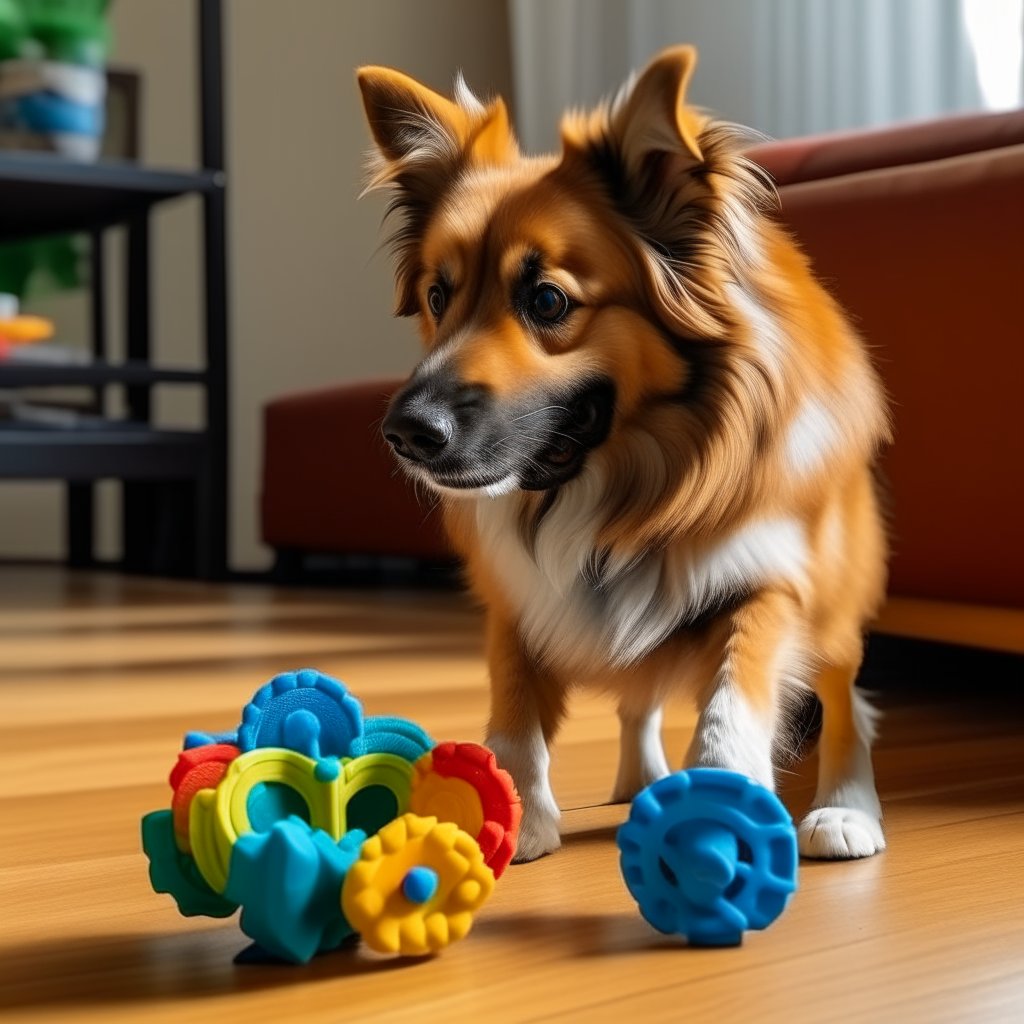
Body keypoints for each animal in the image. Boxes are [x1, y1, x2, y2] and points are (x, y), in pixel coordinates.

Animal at [356, 46, 892, 864]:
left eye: (547, 301)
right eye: (437, 297)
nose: (407, 433)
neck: (609, 488)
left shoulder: (769, 579)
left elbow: (735, 694)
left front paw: (723, 800)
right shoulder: (519, 596)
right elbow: (515, 701)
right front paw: (510, 810)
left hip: (834, 597)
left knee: (842, 698)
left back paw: (846, 808)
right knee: (639, 699)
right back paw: (640, 777)